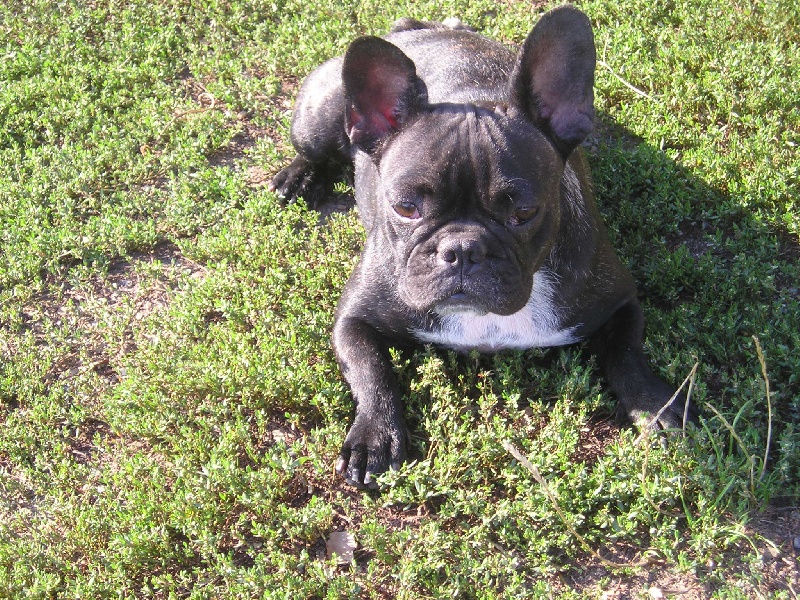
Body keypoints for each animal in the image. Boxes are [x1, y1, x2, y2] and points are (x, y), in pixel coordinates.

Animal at [271, 5, 694, 488]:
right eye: (405, 207)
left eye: (524, 212)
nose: (462, 249)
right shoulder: (354, 318)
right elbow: (371, 370)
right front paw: (374, 436)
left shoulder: (619, 301)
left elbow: (629, 355)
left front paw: (655, 407)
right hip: (315, 122)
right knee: (312, 149)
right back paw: (298, 177)